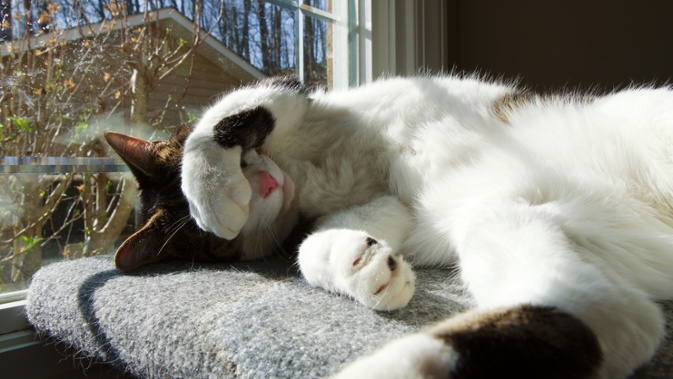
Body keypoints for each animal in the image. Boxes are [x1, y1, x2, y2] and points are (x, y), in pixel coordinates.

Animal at [180, 75, 673, 378]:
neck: (306, 173)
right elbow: (310, 248)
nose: (262, 184)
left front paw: (211, 194)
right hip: (508, 223)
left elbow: (232, 109)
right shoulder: (389, 208)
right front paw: (365, 266)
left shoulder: (315, 103)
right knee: (607, 309)